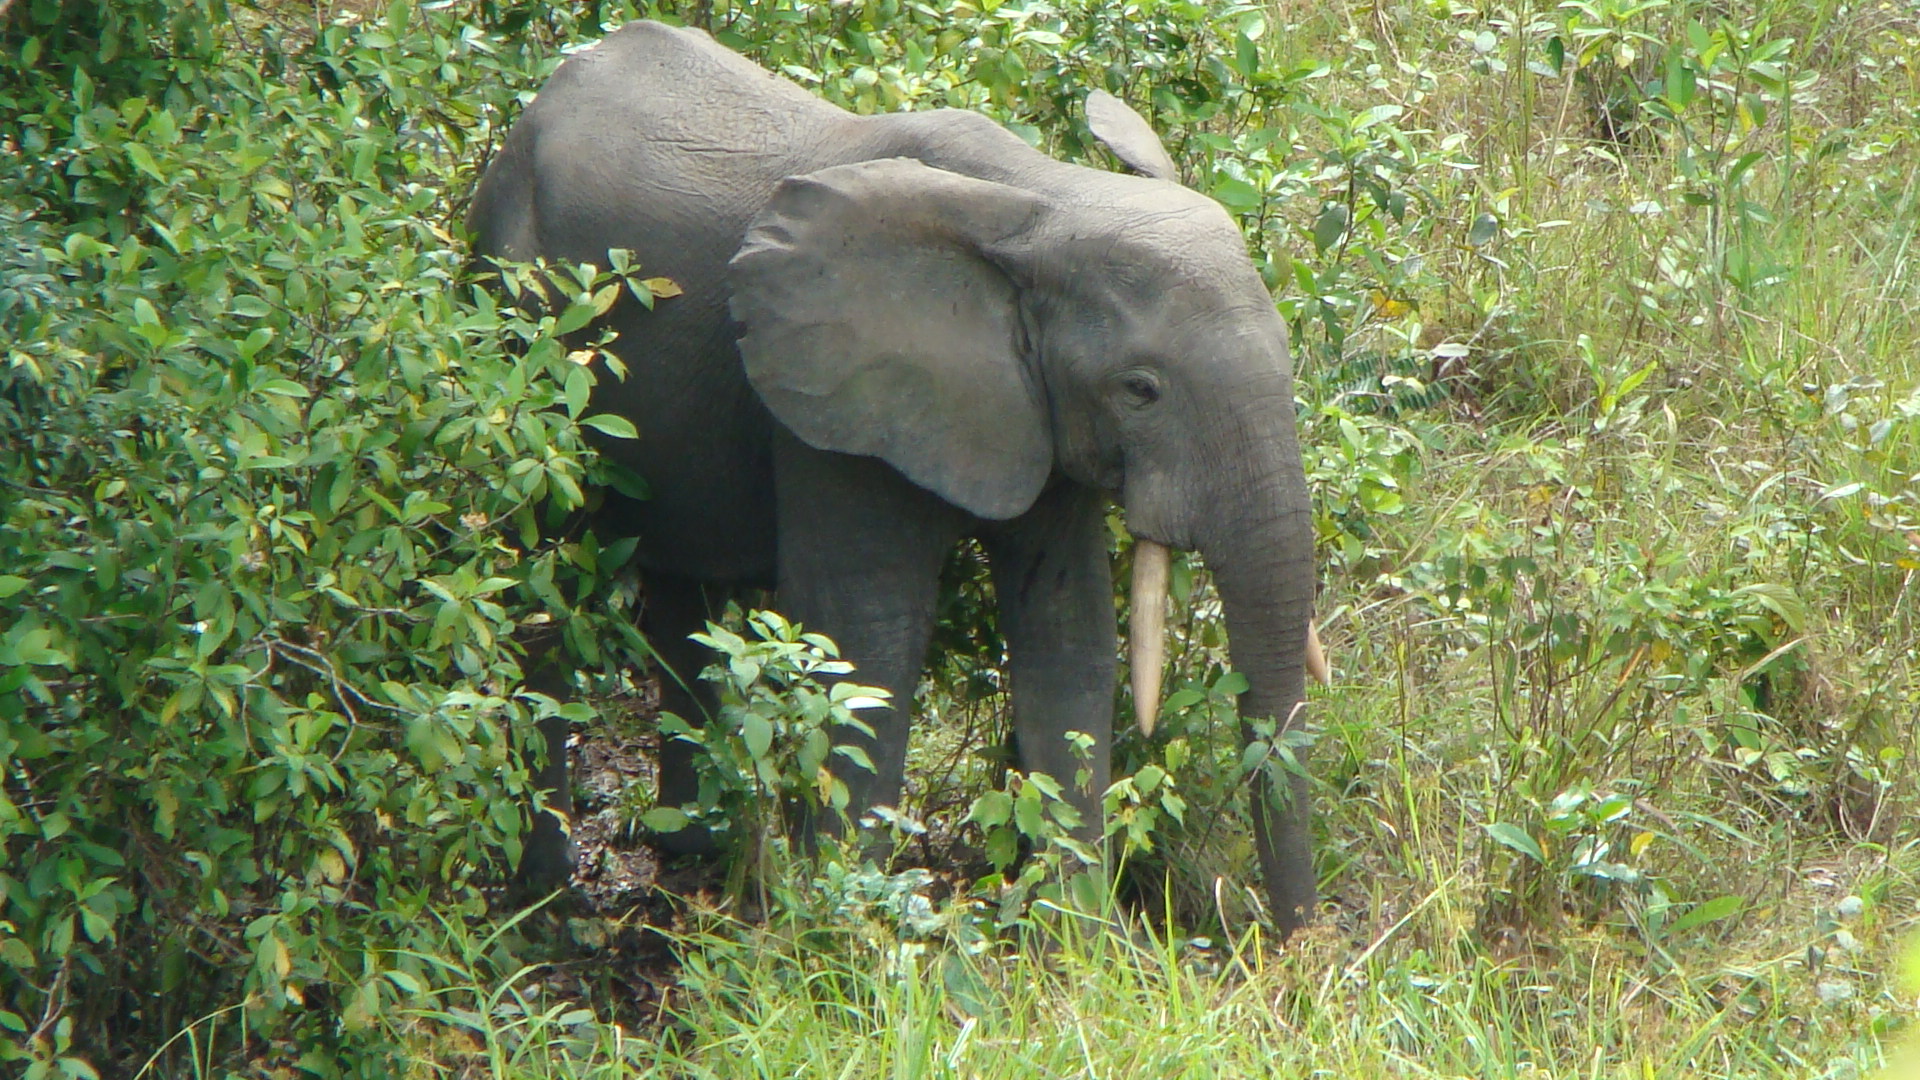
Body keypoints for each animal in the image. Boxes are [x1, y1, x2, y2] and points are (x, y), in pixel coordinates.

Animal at [472, 23, 1328, 933]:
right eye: (1141, 389)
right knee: (542, 590)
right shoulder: (831, 404)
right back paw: (554, 895)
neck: (1044, 202)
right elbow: (866, 638)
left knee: (684, 599)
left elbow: (1068, 633)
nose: (1292, 947)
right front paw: (850, 931)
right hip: (514, 323)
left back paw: (692, 858)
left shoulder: (1035, 411)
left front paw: (1075, 933)